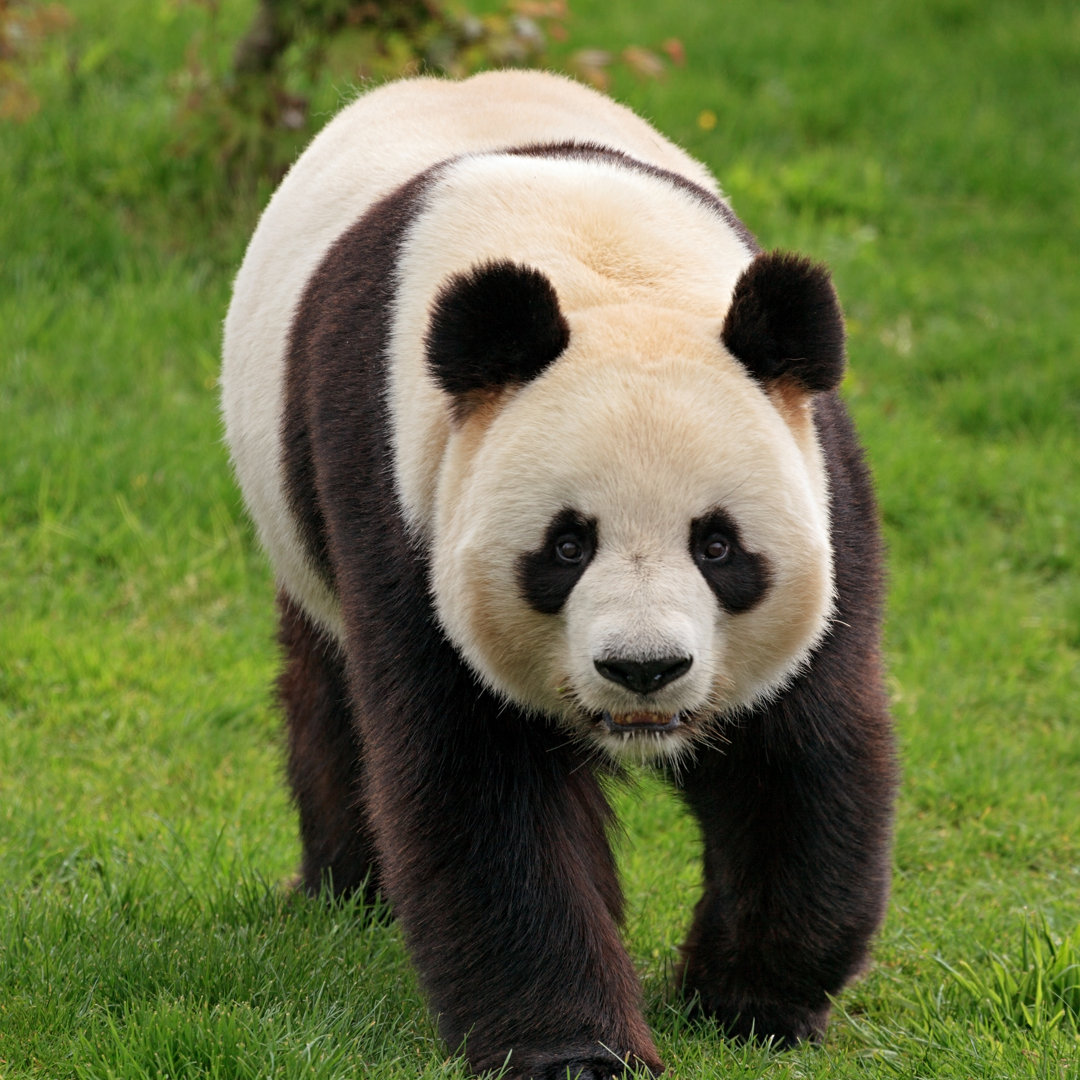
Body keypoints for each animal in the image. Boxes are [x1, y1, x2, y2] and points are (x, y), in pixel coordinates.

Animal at [219, 69, 894, 1080]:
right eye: (567, 547)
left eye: (718, 546)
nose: (644, 669)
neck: (605, 273)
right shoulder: (402, 497)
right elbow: (479, 786)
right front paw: (576, 1050)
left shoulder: (820, 484)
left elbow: (796, 754)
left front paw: (753, 1002)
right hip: (304, 532)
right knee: (330, 691)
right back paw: (346, 890)